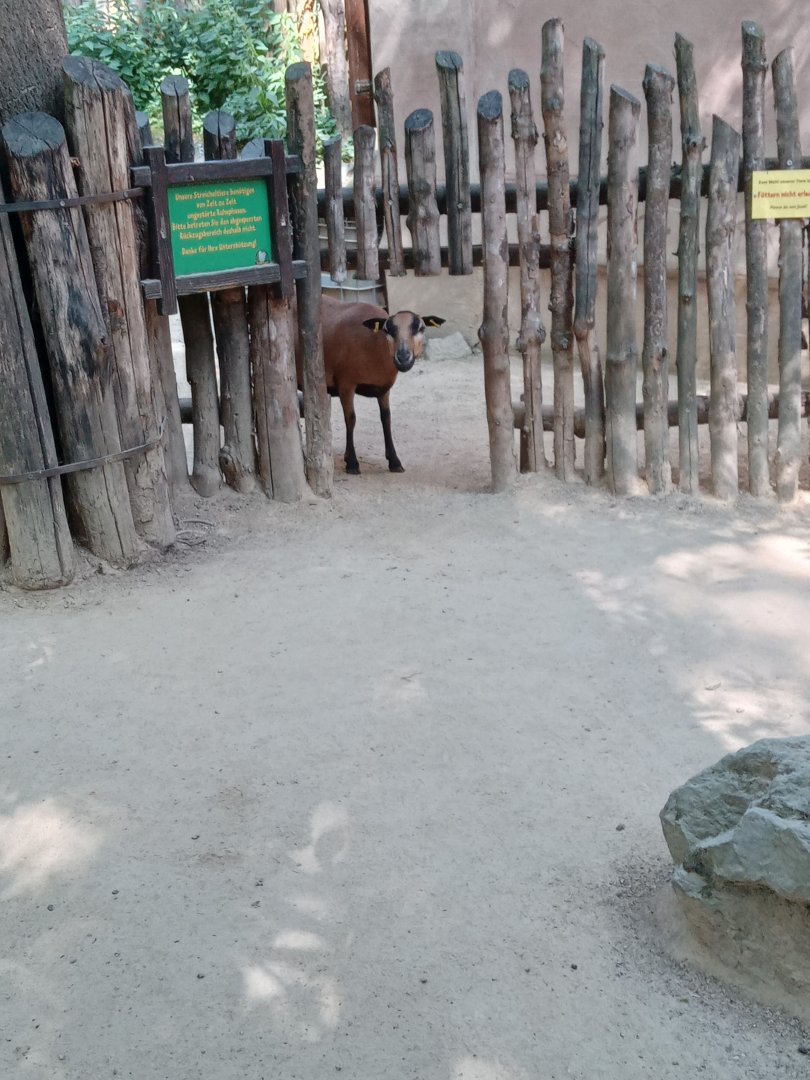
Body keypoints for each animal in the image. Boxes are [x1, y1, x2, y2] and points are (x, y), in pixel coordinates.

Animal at [303, 297, 444, 474]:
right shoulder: (346, 384)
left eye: (421, 328)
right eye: (387, 330)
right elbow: (351, 419)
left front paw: (394, 461)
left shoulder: (384, 389)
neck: (375, 346)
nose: (403, 358)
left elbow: (386, 418)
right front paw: (352, 462)